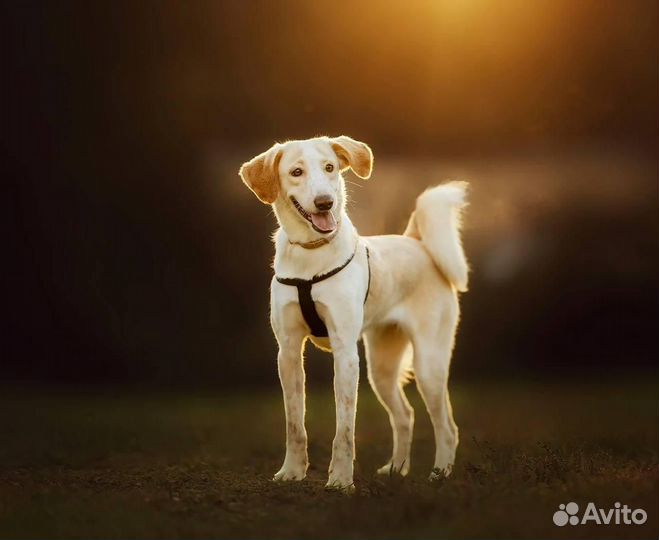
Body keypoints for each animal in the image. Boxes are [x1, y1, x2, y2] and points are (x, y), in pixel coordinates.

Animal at [238, 136, 470, 490]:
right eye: (296, 172)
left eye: (330, 167)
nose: (325, 203)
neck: (312, 254)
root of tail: (418, 244)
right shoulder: (288, 352)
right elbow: (295, 423)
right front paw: (291, 472)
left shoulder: (345, 352)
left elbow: (345, 429)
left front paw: (340, 480)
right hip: (382, 368)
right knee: (405, 415)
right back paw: (395, 469)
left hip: (429, 365)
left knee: (447, 426)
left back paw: (439, 473)